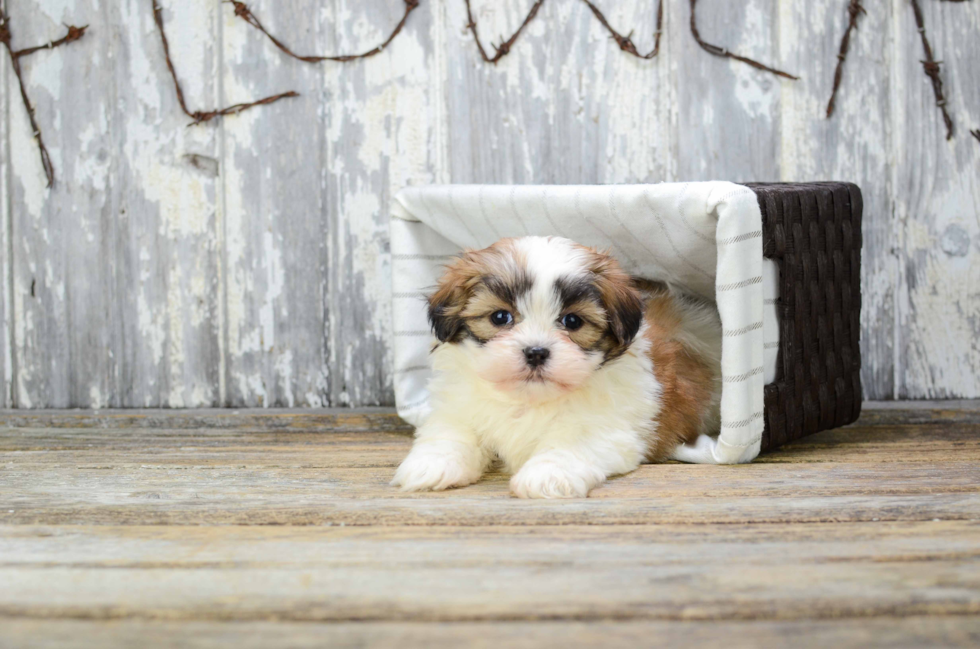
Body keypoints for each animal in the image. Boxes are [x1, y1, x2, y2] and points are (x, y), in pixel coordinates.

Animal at [388, 235, 720, 498]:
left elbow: (570, 444)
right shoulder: (459, 408)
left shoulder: (605, 426)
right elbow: (452, 432)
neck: (529, 399)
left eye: (572, 321)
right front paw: (432, 465)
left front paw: (546, 475)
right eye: (500, 317)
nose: (535, 352)